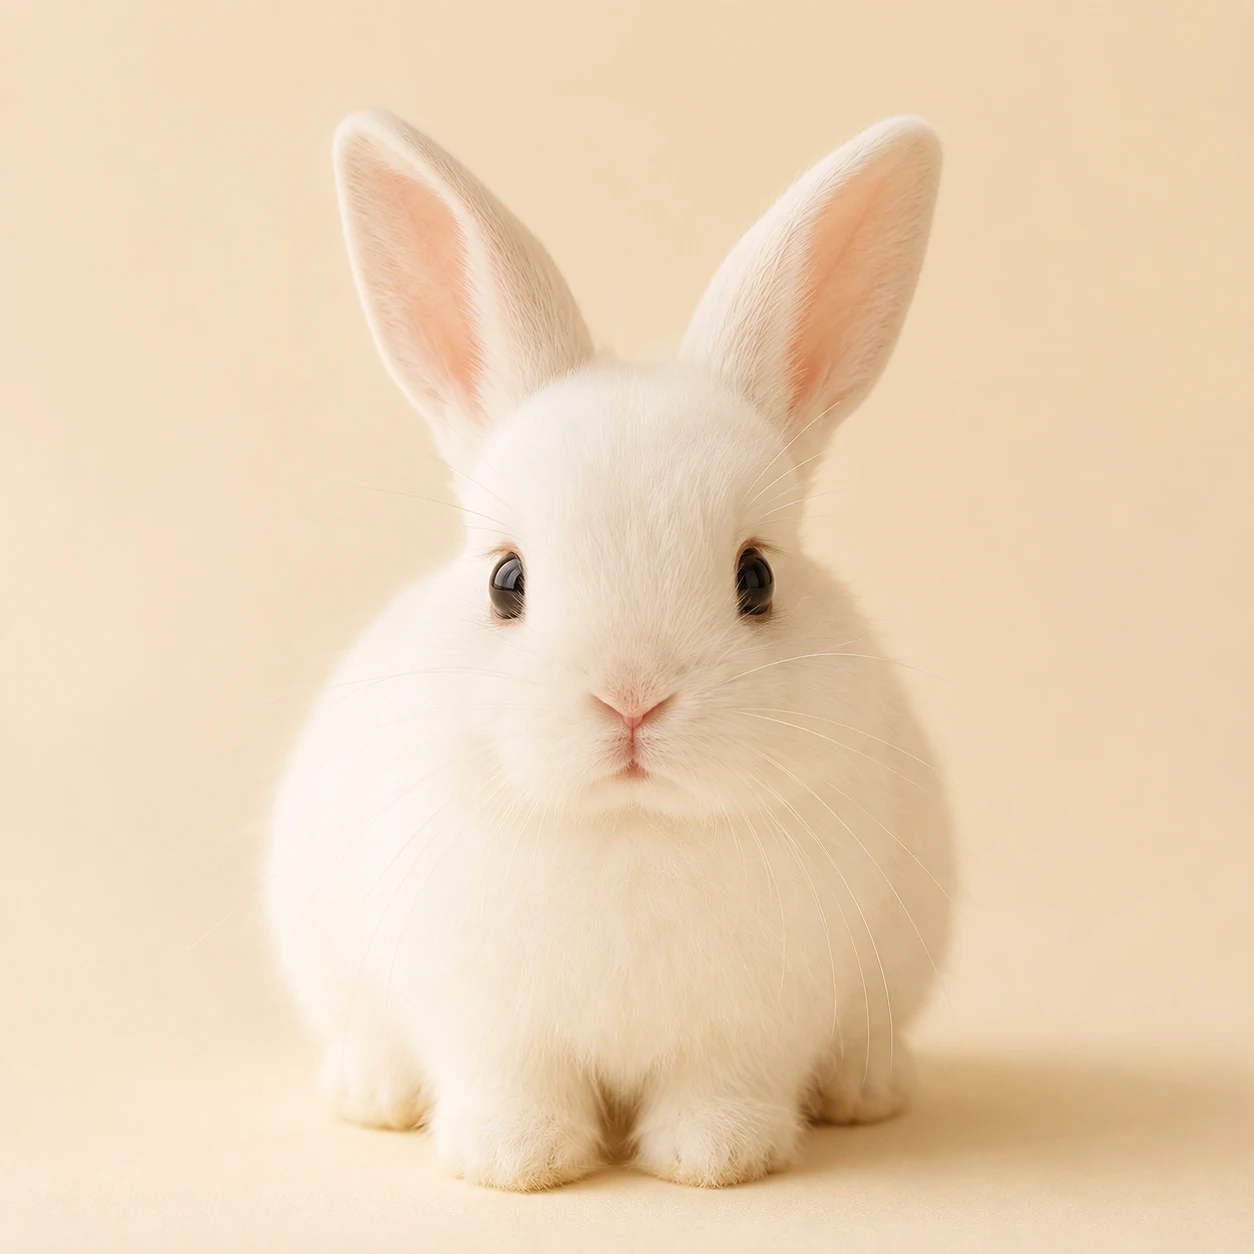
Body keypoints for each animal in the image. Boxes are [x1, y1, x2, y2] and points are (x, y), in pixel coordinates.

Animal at [264, 108, 955, 1191]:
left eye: (755, 578)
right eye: (507, 581)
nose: (632, 699)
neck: (631, 826)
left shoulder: (751, 1026)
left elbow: (719, 1088)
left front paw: (715, 1159)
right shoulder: (487, 1022)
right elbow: (513, 1084)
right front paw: (517, 1161)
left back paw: (867, 1091)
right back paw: (371, 1095)